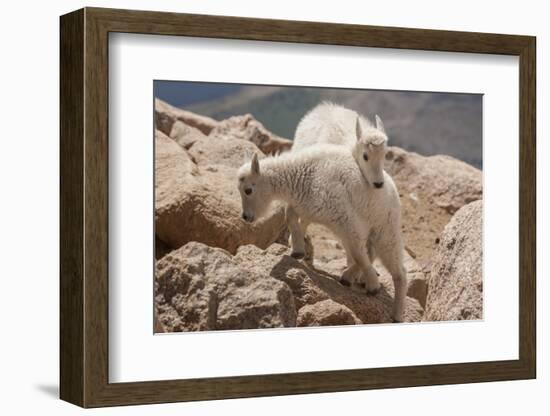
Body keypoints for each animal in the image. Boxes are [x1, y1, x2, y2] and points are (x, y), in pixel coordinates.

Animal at [237, 146, 410, 322]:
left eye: (248, 190)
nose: (246, 217)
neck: (301, 175)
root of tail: (392, 189)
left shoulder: (347, 219)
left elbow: (359, 254)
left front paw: (374, 286)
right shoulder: (310, 207)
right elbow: (290, 214)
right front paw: (298, 250)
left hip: (385, 228)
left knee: (397, 270)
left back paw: (396, 314)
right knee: (369, 250)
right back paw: (348, 277)